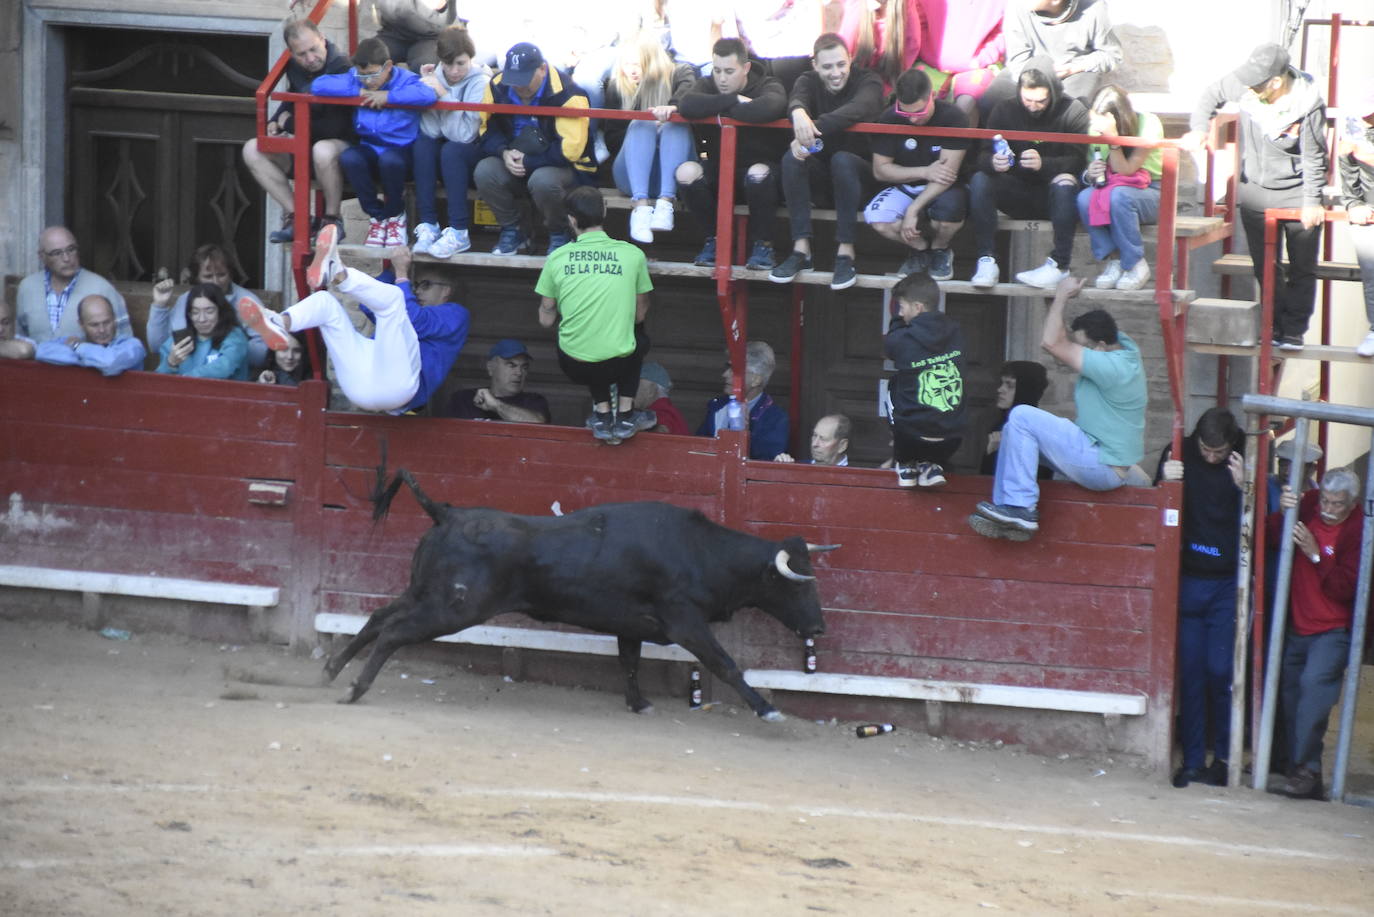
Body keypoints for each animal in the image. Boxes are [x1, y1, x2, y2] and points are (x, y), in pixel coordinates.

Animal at [322, 470, 835, 720]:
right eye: (796, 584)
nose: (819, 626)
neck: (700, 551)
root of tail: (447, 513)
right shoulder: (685, 623)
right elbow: (725, 664)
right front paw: (768, 709)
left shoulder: (631, 625)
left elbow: (629, 662)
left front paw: (639, 704)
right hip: (453, 607)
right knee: (393, 634)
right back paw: (355, 689)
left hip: (425, 593)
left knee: (379, 618)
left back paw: (331, 671)